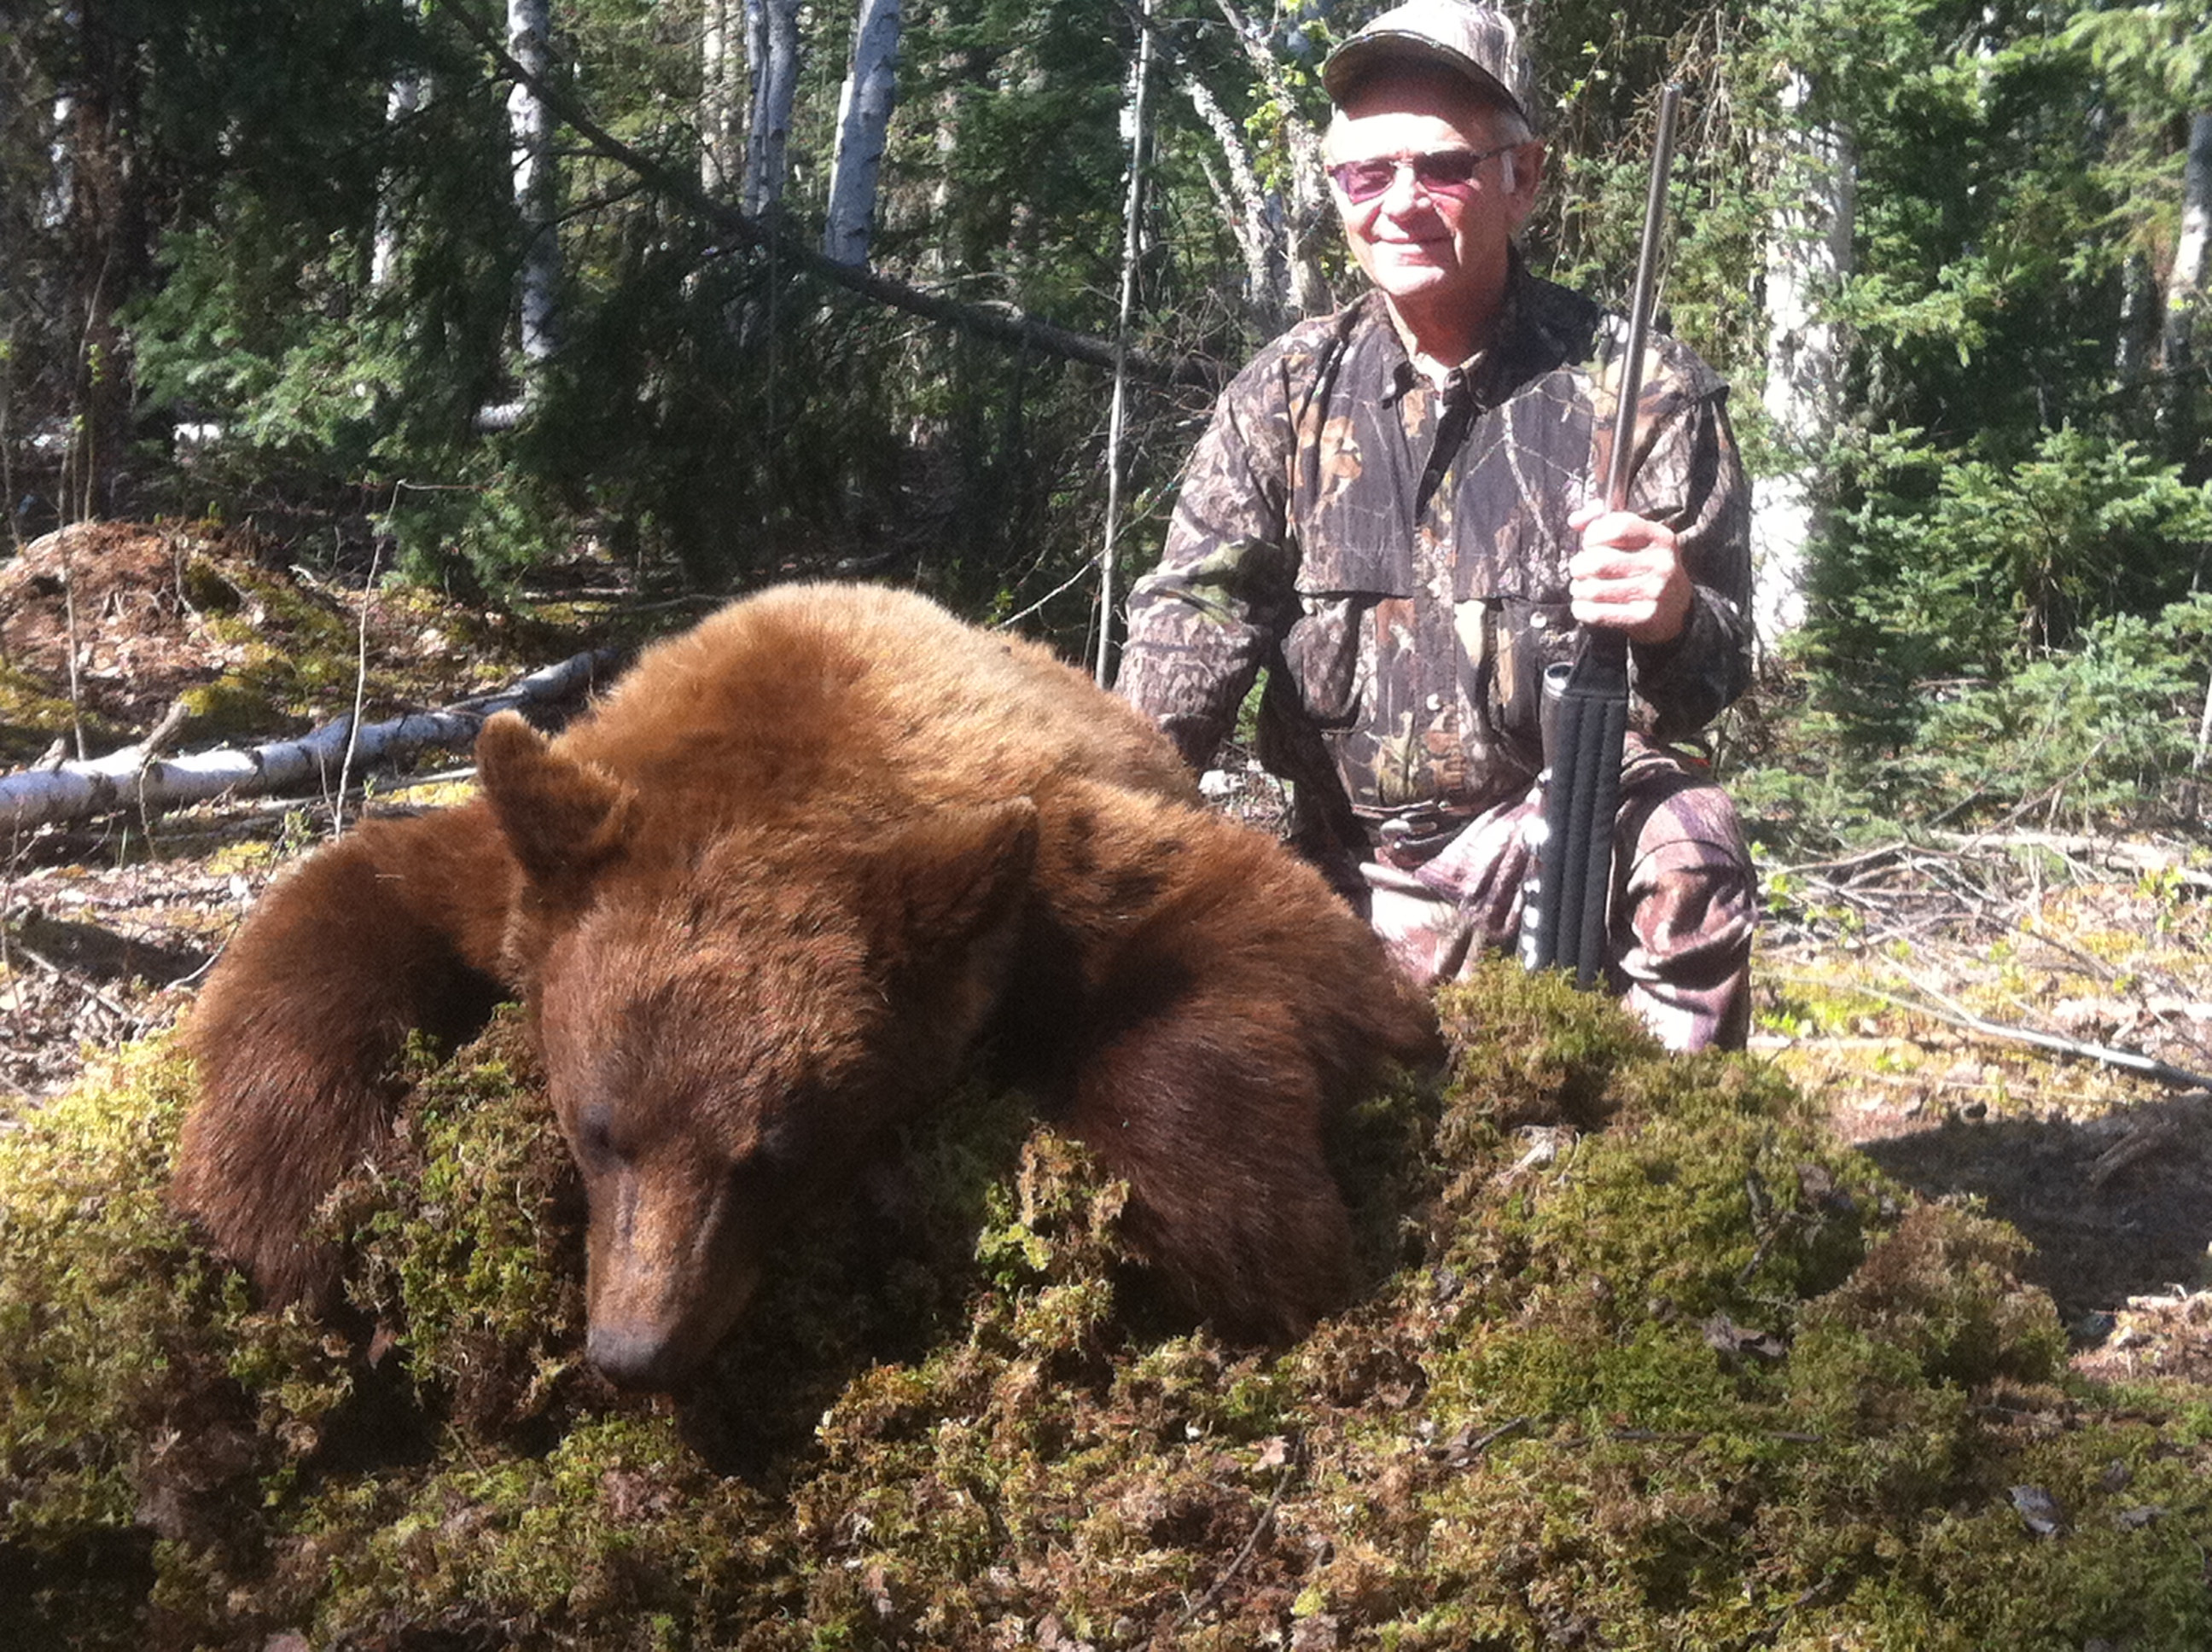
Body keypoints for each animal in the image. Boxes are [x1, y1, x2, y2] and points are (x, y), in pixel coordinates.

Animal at [173, 582, 1441, 1390]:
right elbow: (352, 895)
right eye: (598, 1130)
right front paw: (283, 1203)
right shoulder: (546, 853)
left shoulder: (1045, 856)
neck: (799, 737)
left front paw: (1258, 1228)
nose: (636, 1353)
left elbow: (1275, 924)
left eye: (776, 1155)